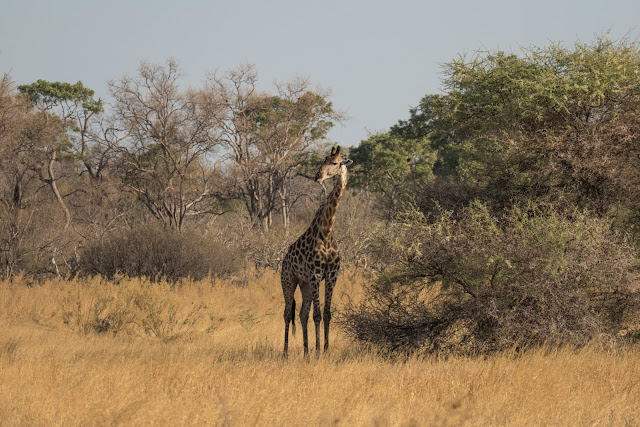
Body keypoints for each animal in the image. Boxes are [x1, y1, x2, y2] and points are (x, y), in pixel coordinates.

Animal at [280, 145, 352, 360]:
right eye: (324, 159)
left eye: (335, 163)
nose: (317, 176)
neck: (327, 232)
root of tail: (283, 260)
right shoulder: (315, 275)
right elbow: (317, 315)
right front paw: (319, 351)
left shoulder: (331, 275)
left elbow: (326, 314)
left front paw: (326, 350)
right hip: (288, 280)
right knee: (287, 313)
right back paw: (285, 352)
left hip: (304, 285)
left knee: (302, 313)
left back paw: (305, 352)